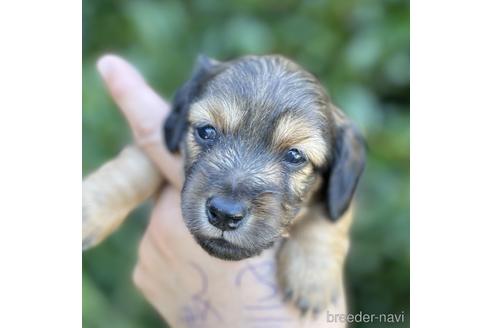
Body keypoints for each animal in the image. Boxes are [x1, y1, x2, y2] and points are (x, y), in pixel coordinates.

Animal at [163, 54, 364, 316]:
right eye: (206, 131)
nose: (224, 214)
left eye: (294, 155)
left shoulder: (341, 198)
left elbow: (328, 218)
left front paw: (312, 277)